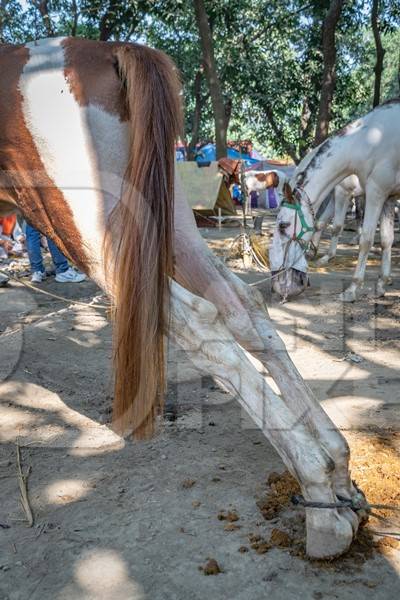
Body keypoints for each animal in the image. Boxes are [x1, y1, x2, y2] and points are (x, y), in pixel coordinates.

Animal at [0, 37, 362, 556]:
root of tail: (105, 48)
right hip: (169, 224)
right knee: (244, 310)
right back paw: (337, 475)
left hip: (84, 225)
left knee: (198, 324)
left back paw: (321, 503)